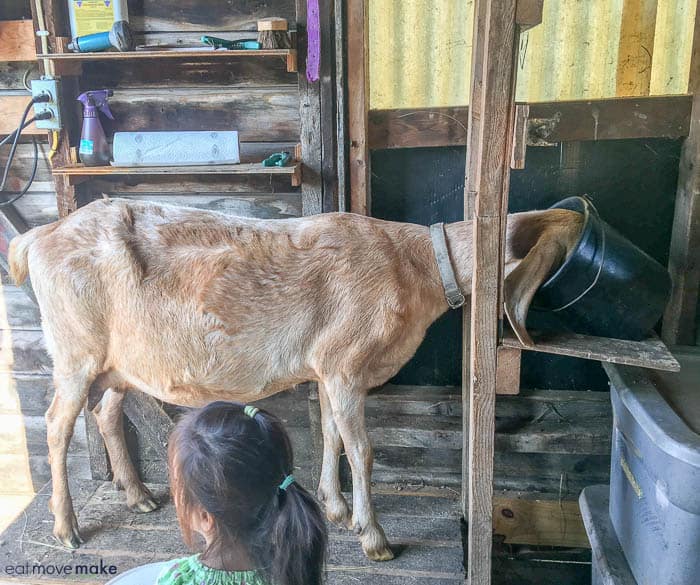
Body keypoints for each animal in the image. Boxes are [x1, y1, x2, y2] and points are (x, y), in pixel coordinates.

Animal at [8, 198, 584, 560]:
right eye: (565, 253)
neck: (415, 264)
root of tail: (39, 236)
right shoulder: (345, 363)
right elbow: (362, 450)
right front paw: (375, 538)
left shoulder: (325, 367)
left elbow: (331, 434)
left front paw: (336, 508)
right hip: (75, 351)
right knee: (57, 424)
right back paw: (67, 529)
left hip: (116, 361)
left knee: (105, 411)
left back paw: (139, 496)